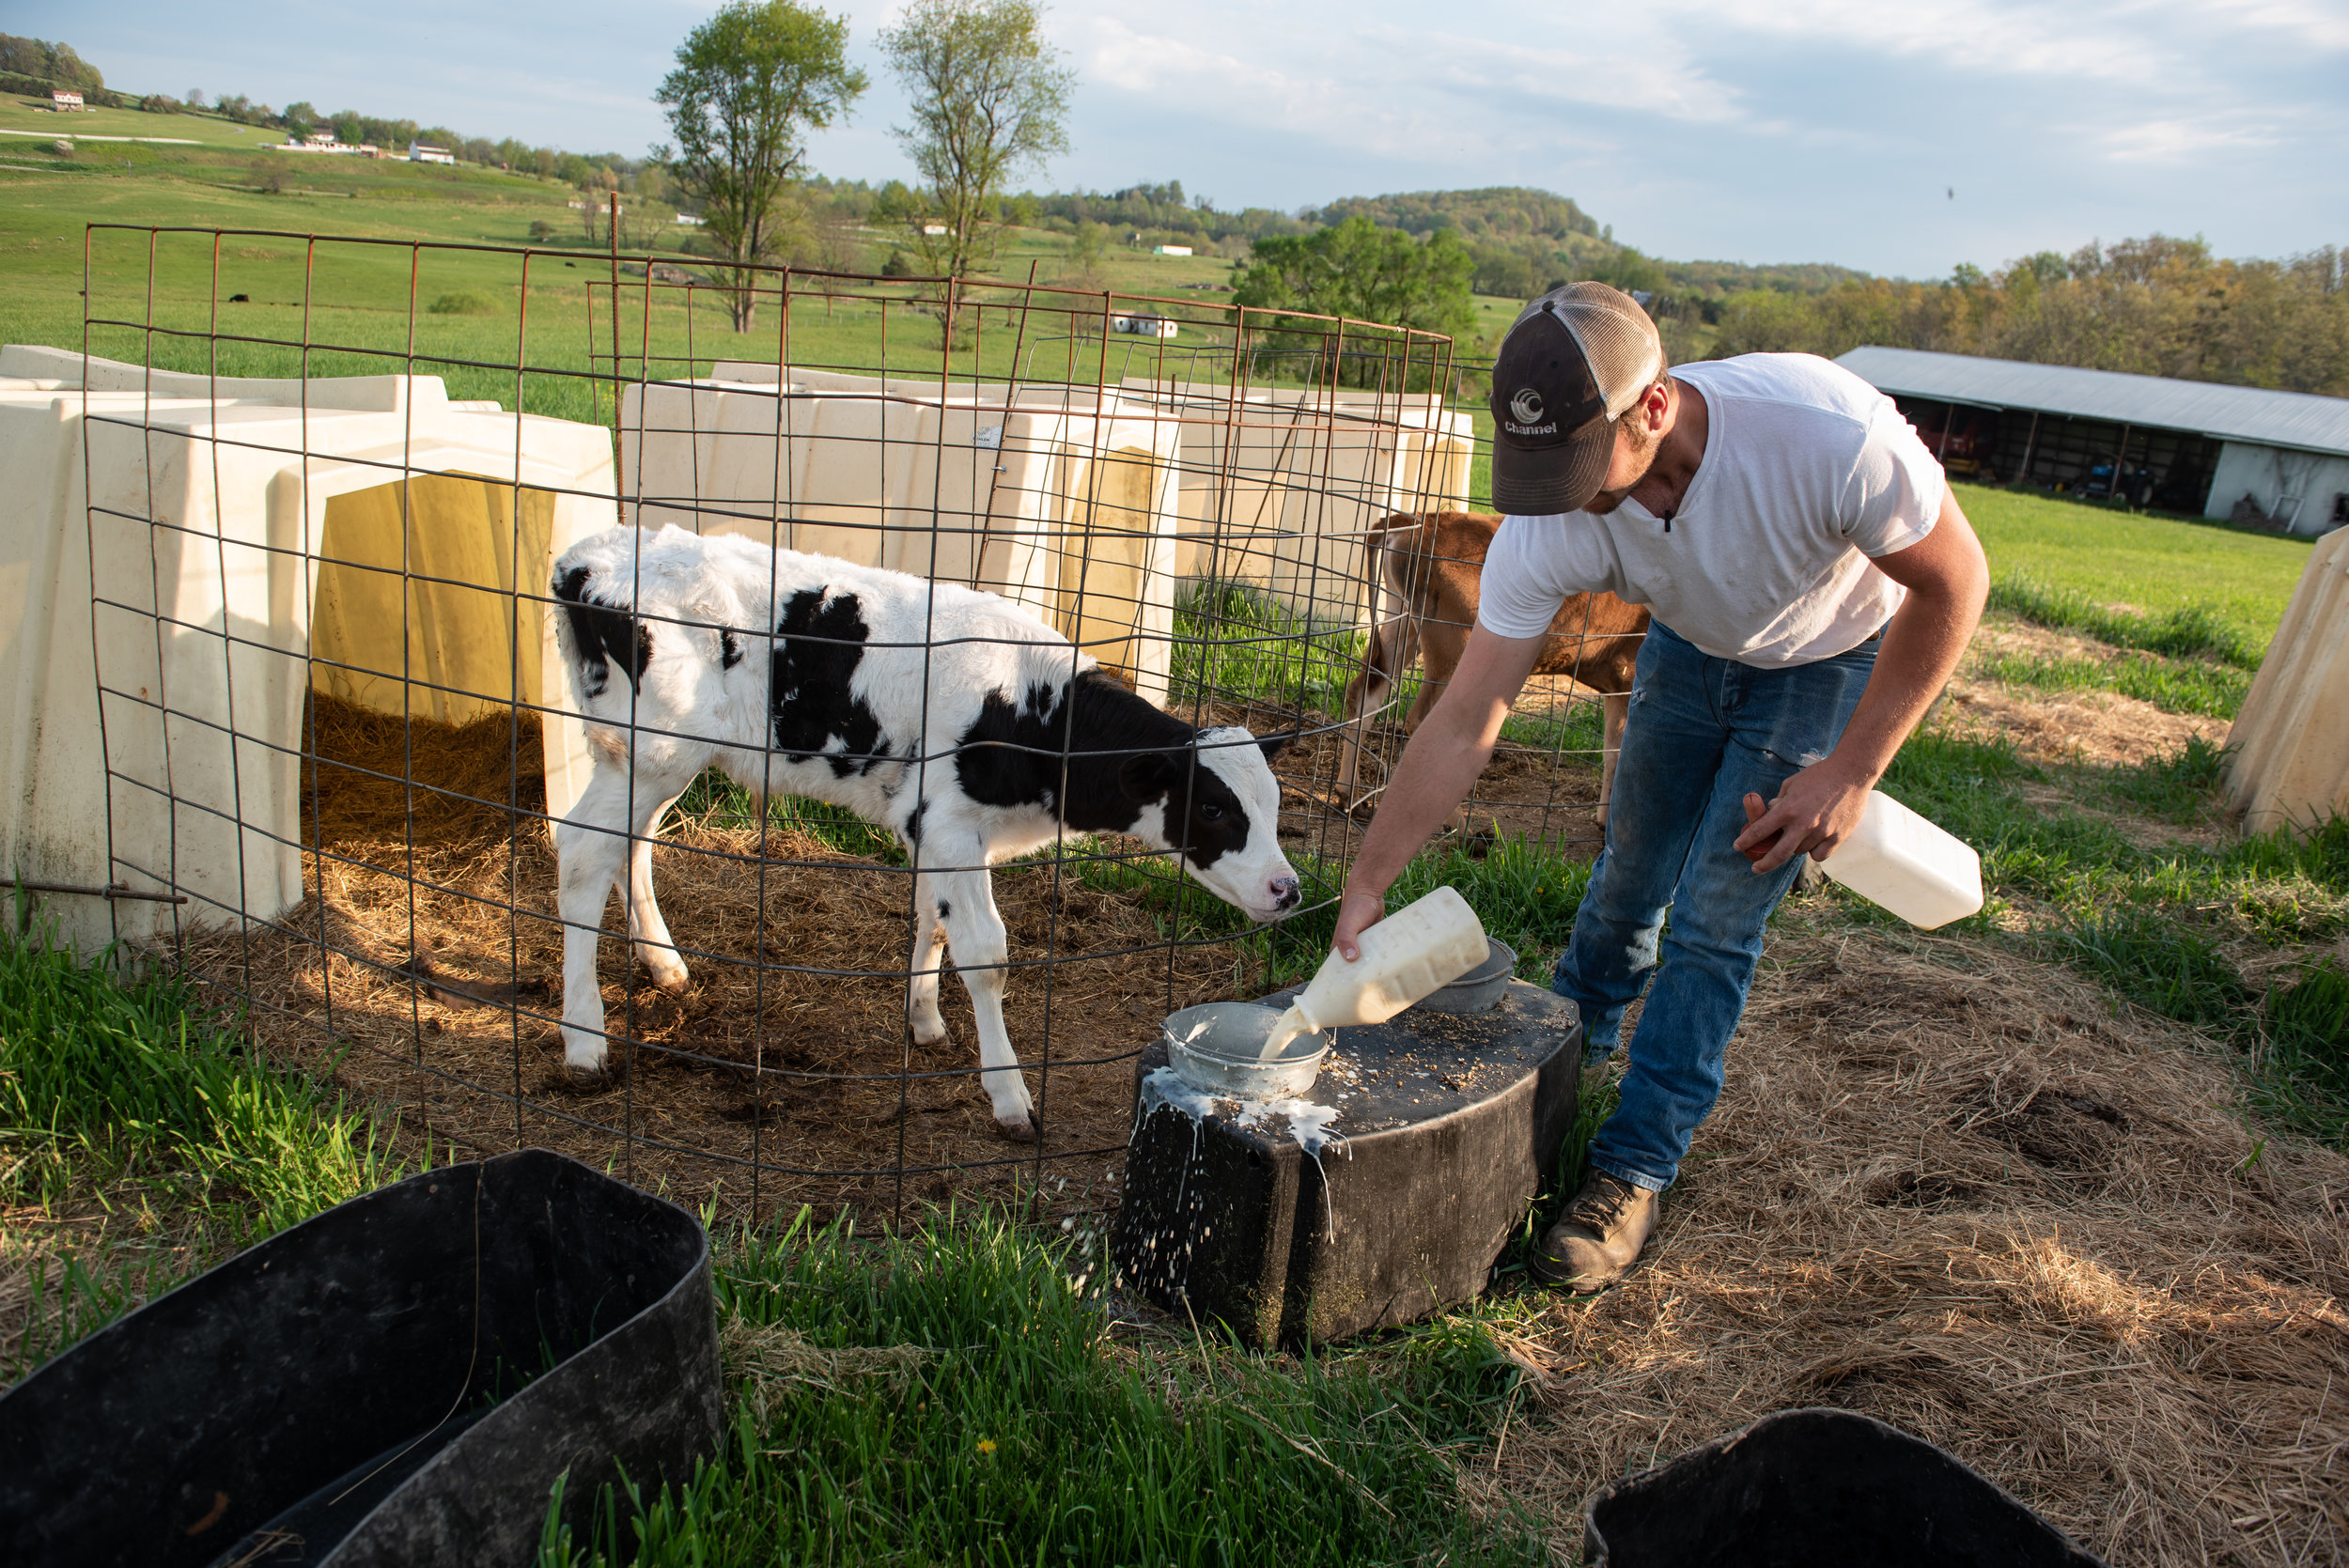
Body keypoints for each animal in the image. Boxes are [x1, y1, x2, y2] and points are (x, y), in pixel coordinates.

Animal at [550, 525, 1306, 1141]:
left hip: (652, 760)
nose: (1288, 889)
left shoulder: (938, 831)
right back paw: (584, 1043)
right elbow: (986, 955)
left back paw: (664, 965)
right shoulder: (947, 823)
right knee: (584, 853)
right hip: (651, 751)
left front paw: (924, 1020)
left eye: (1272, 805)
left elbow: (931, 921)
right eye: (1214, 808)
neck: (1031, 711)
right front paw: (1010, 1097)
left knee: (631, 847)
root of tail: (588, 556)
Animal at [1344, 514, 1654, 831]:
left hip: (1402, 626)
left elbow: (1612, 751)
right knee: (1426, 721)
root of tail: (1413, 521)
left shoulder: (1617, 685)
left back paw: (1350, 795)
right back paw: (1460, 825)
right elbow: (1623, 752)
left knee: (1365, 693)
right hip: (1453, 642)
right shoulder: (1630, 676)